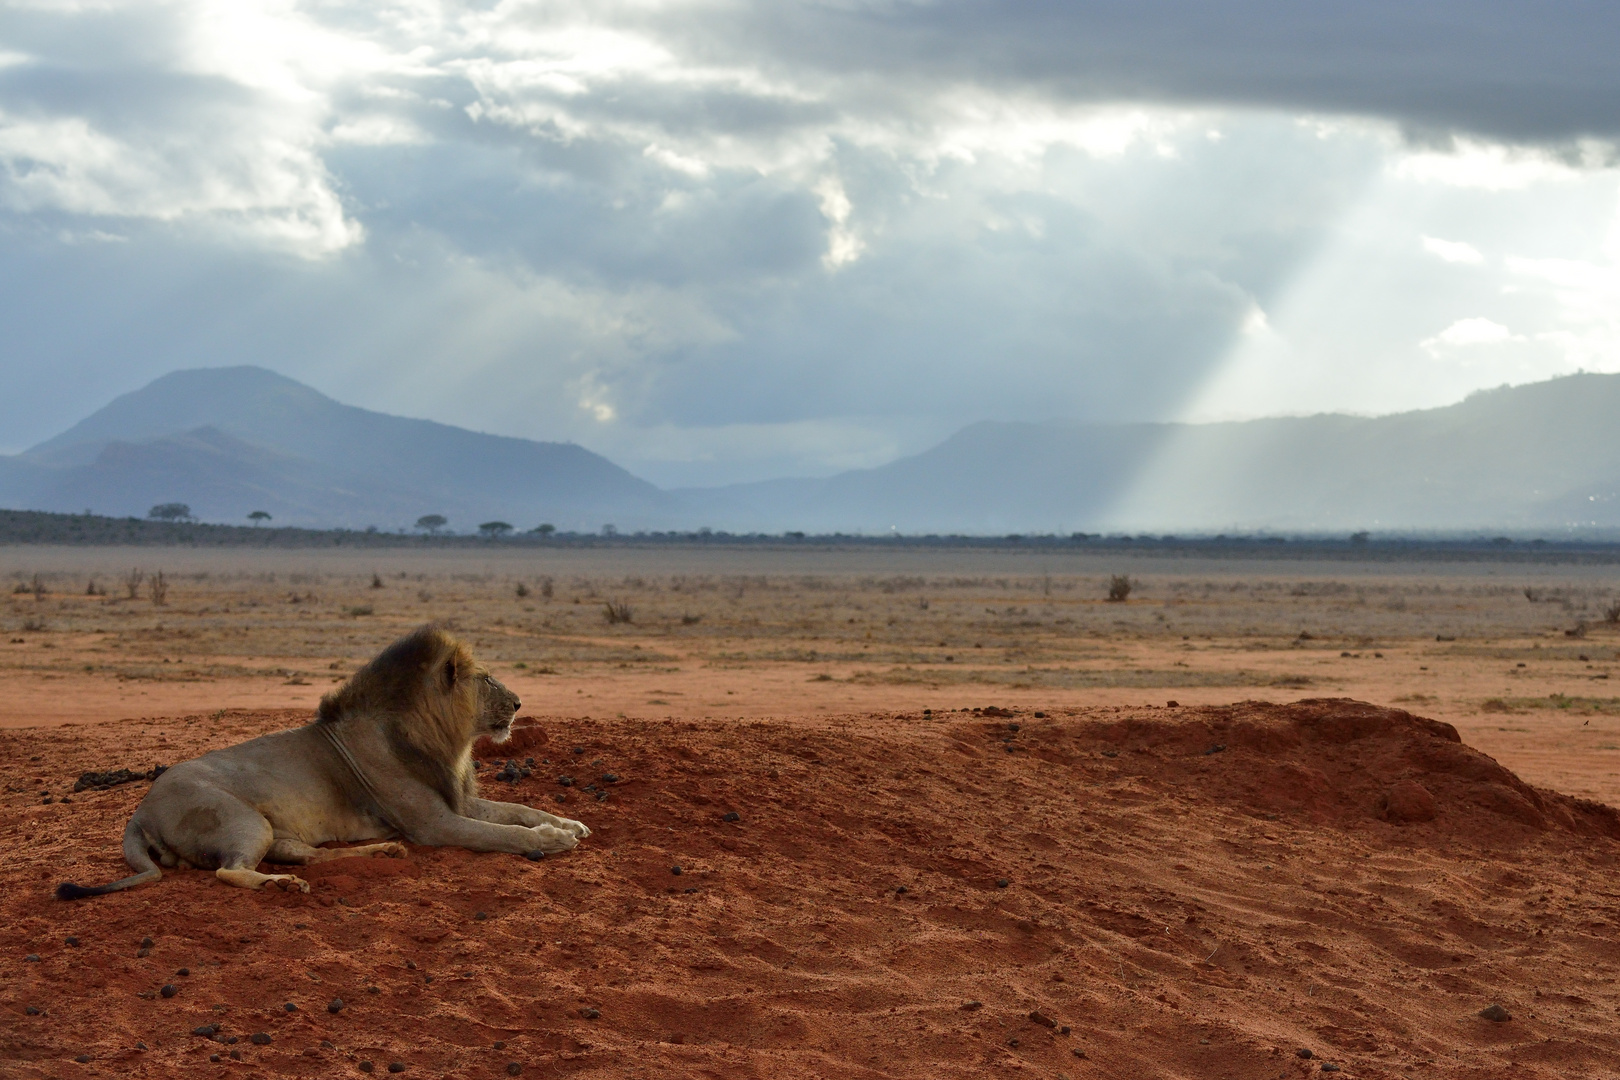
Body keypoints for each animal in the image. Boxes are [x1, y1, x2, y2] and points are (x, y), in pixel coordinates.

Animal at [55, 621, 589, 900]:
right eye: (485, 680)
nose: (518, 703)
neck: (442, 740)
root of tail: (140, 811)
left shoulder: (455, 801)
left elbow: (519, 810)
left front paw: (569, 823)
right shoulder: (434, 823)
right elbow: (504, 834)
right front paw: (553, 840)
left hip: (275, 831)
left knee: (309, 854)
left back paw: (381, 853)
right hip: (243, 820)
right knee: (232, 871)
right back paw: (282, 884)